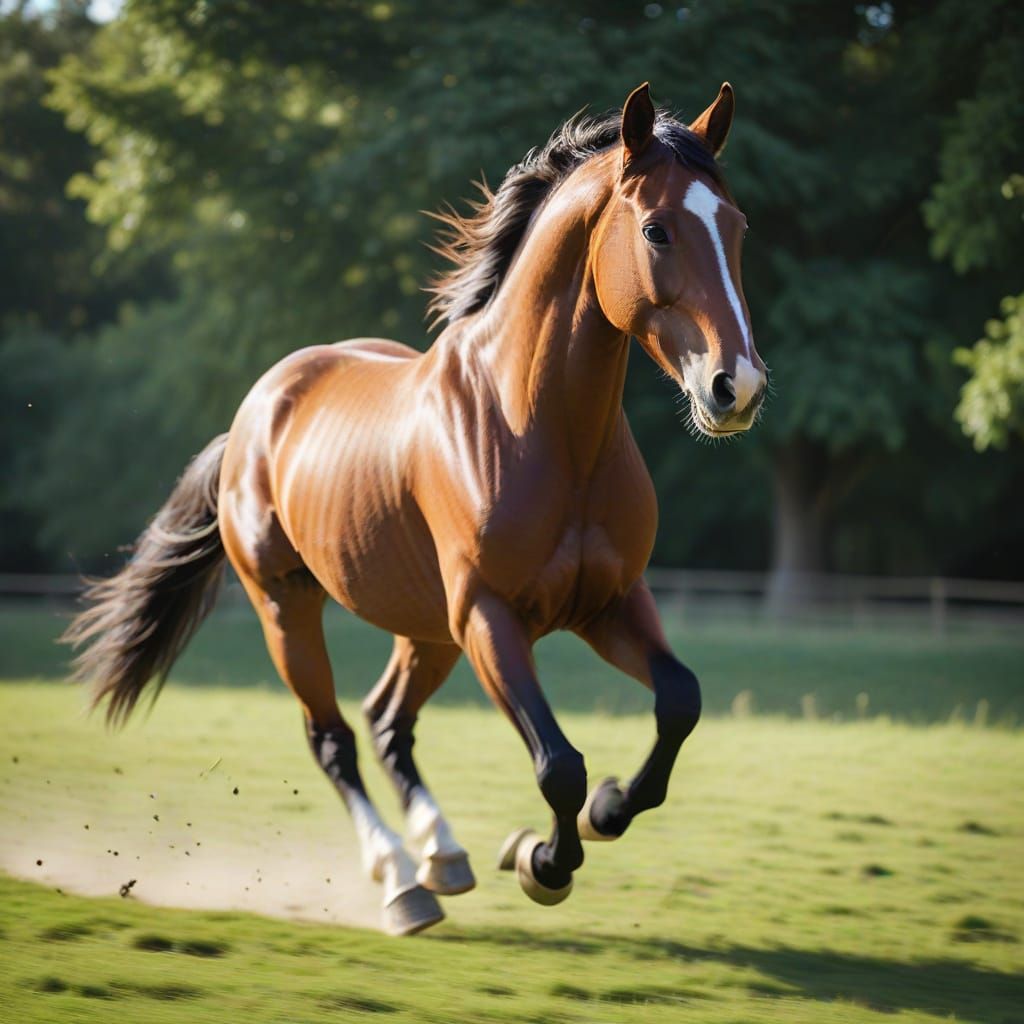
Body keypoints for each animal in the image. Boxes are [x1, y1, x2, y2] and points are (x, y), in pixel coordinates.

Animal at [64, 82, 767, 935]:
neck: (540, 430)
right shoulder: (491, 617)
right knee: (333, 737)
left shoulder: (608, 603)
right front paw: (541, 863)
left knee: (387, 721)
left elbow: (679, 703)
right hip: (289, 608)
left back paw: (445, 854)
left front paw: (605, 813)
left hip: (426, 628)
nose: (737, 387)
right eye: (658, 229)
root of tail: (254, 415)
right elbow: (559, 764)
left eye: (736, 226)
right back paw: (403, 882)